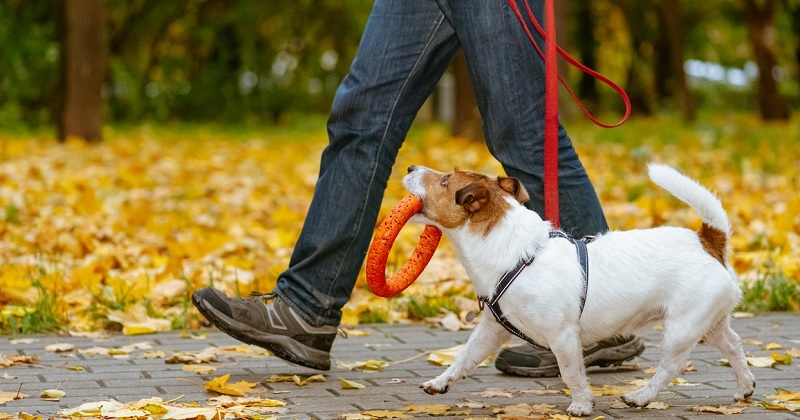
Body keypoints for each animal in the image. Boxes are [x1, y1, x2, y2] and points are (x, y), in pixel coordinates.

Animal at [406, 164, 756, 416]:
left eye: (444, 180)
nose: (410, 166)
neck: (515, 252)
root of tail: (708, 240)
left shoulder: (563, 336)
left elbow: (572, 373)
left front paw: (581, 405)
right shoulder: (492, 330)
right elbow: (463, 358)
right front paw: (440, 382)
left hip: (682, 328)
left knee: (672, 367)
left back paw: (641, 396)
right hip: (709, 324)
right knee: (734, 346)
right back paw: (745, 387)